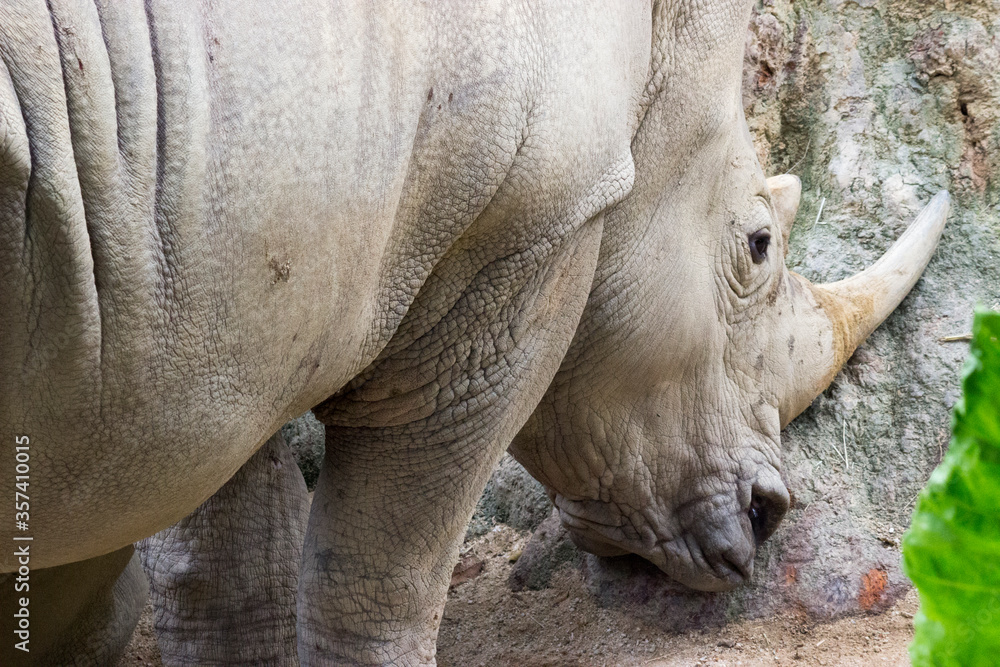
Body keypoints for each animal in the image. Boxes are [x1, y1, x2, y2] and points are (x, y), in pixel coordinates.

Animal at [0, 0, 948, 665]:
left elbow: (223, 573)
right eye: (756, 245)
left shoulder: (223, 314)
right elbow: (383, 576)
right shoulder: (532, 228)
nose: (769, 512)